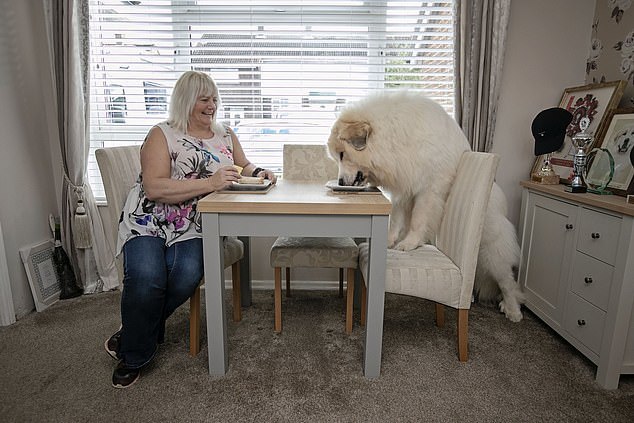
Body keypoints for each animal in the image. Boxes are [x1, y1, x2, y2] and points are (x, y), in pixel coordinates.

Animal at [326, 90, 524, 322]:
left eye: (342, 154)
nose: (340, 183)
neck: (396, 138)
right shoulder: (404, 187)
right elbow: (396, 219)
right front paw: (390, 241)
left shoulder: (428, 189)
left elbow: (418, 220)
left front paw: (409, 243)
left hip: (493, 251)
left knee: (507, 282)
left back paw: (512, 310)